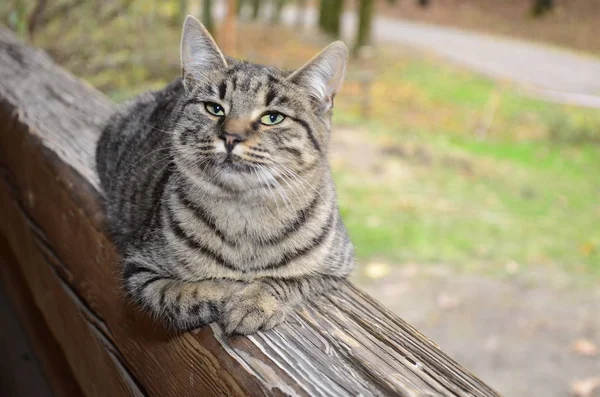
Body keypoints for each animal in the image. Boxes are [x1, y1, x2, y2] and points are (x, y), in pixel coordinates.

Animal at [95, 17, 354, 336]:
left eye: (272, 117)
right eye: (214, 108)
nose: (231, 136)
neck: (245, 216)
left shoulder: (335, 268)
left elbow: (285, 280)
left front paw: (253, 301)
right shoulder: (140, 269)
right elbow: (179, 293)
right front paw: (224, 290)